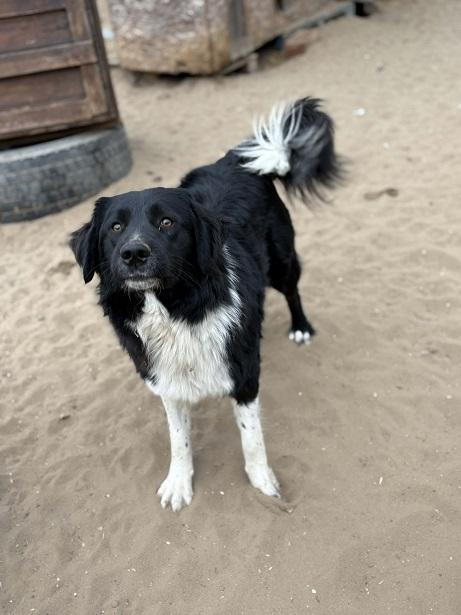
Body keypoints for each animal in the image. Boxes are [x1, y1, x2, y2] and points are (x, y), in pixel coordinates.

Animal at [70, 97, 340, 511]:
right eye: (115, 228)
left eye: (167, 222)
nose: (133, 253)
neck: (175, 311)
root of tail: (235, 160)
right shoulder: (164, 379)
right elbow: (178, 439)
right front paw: (179, 482)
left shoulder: (244, 372)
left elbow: (251, 436)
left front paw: (262, 481)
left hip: (282, 262)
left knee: (292, 290)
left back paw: (300, 328)